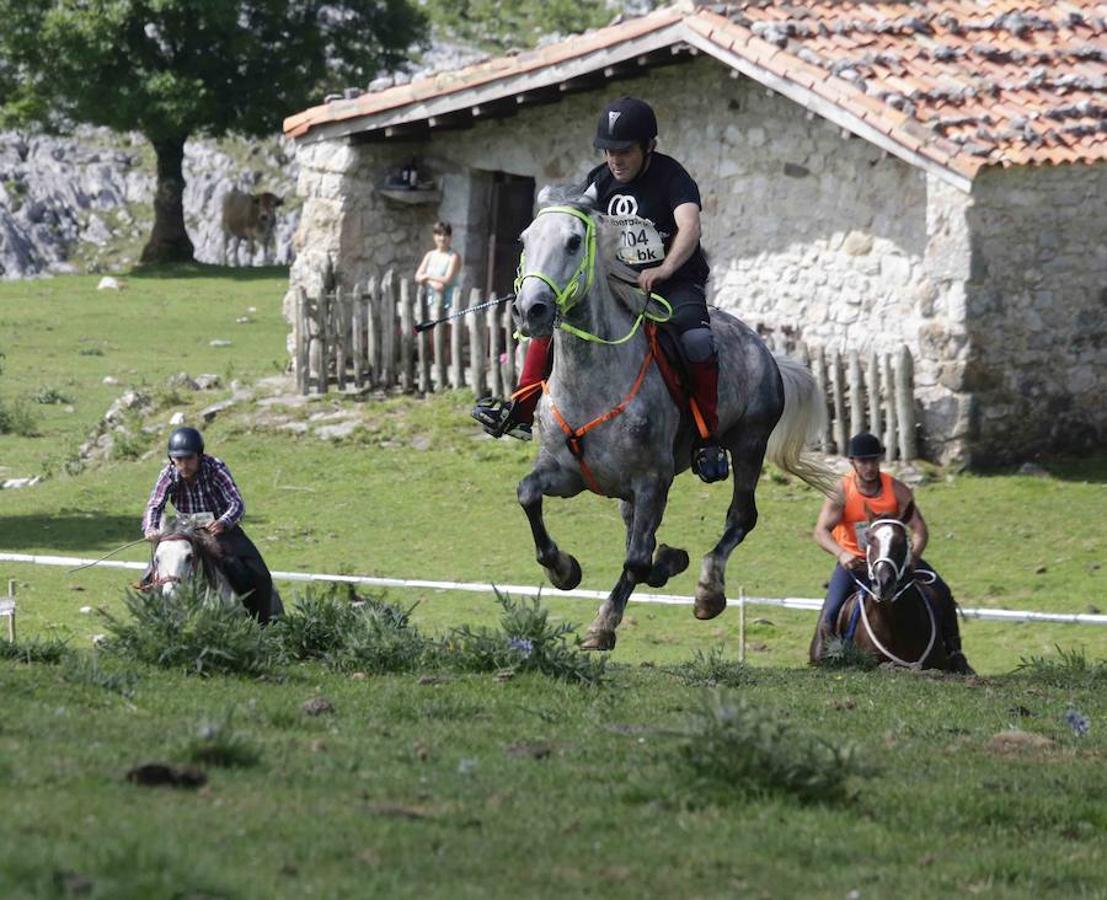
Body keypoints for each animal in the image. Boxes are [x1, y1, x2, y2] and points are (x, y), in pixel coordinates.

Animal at [509, 191, 832, 650]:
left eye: (573, 242)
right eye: (524, 239)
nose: (529, 310)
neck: (594, 382)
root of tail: (764, 350)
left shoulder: (652, 482)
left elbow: (638, 560)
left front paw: (606, 621)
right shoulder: (568, 474)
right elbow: (528, 495)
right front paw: (564, 569)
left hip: (748, 445)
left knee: (740, 518)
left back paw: (709, 592)